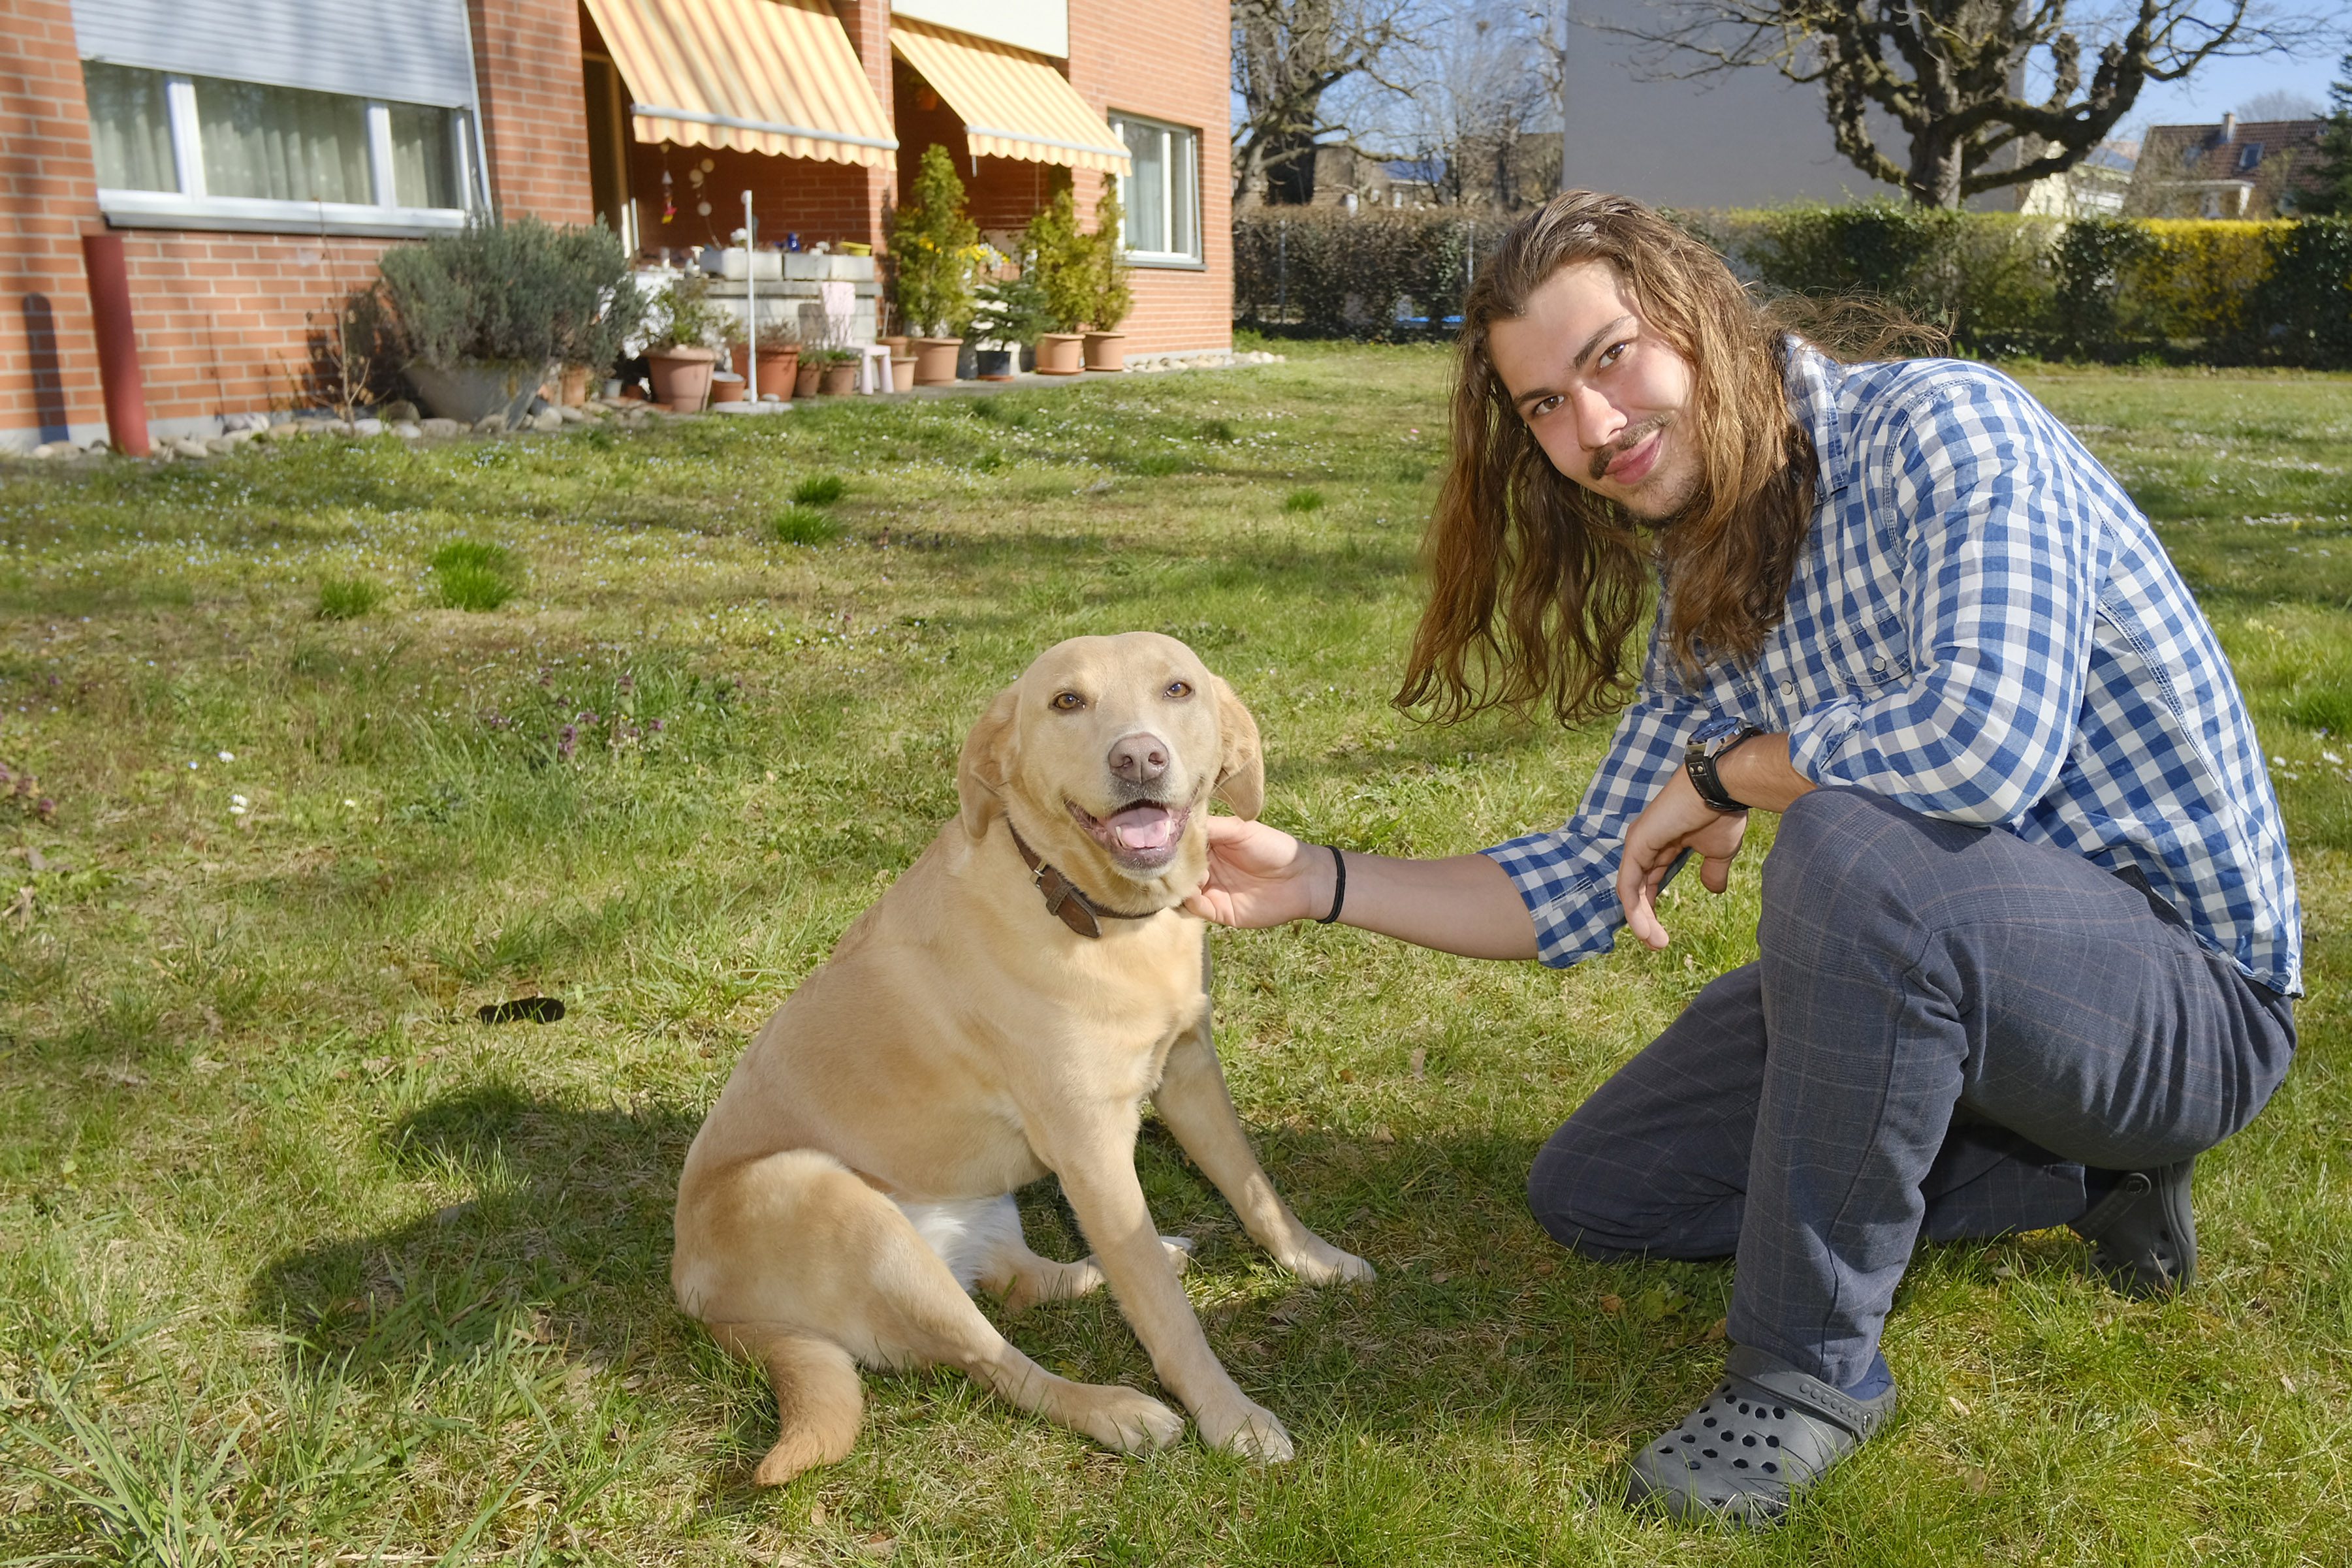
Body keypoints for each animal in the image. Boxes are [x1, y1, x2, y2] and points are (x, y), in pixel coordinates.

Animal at [673, 630, 1373, 1485]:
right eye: (1066, 701)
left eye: (1177, 688)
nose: (1138, 757)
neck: (1086, 908)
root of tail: (701, 1301)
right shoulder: (1092, 1145)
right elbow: (1169, 1320)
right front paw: (1229, 1416)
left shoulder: (1186, 1071)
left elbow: (1253, 1190)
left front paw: (1314, 1260)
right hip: (837, 1204)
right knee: (1001, 1361)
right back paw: (1116, 1410)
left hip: (983, 1206)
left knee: (1026, 1280)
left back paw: (1123, 1262)